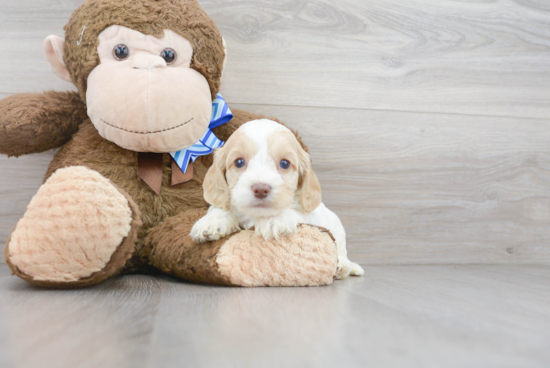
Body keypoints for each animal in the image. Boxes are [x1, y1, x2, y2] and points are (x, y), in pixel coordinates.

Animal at [191, 119, 366, 278]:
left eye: (284, 163)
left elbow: (296, 213)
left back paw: (343, 265)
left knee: (341, 253)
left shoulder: (311, 215)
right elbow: (220, 208)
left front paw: (273, 219)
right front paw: (211, 222)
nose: (261, 189)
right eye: (239, 162)